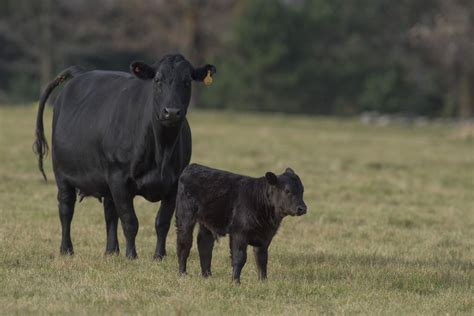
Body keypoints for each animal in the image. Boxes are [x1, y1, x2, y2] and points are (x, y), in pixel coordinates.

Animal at [33, 53, 217, 258]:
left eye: (187, 81)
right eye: (158, 80)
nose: (172, 112)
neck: (161, 151)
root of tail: (79, 73)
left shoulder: (174, 183)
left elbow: (162, 222)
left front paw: (159, 256)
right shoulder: (119, 178)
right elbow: (130, 221)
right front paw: (131, 255)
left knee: (109, 212)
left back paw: (111, 251)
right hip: (62, 174)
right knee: (66, 209)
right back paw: (67, 249)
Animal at [175, 164, 308, 282]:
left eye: (302, 190)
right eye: (287, 190)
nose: (302, 208)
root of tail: (193, 167)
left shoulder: (265, 236)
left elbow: (262, 258)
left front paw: (263, 281)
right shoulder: (239, 233)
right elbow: (240, 257)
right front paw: (236, 281)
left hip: (207, 223)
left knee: (204, 245)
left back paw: (207, 275)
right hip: (184, 217)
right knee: (184, 244)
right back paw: (182, 273)